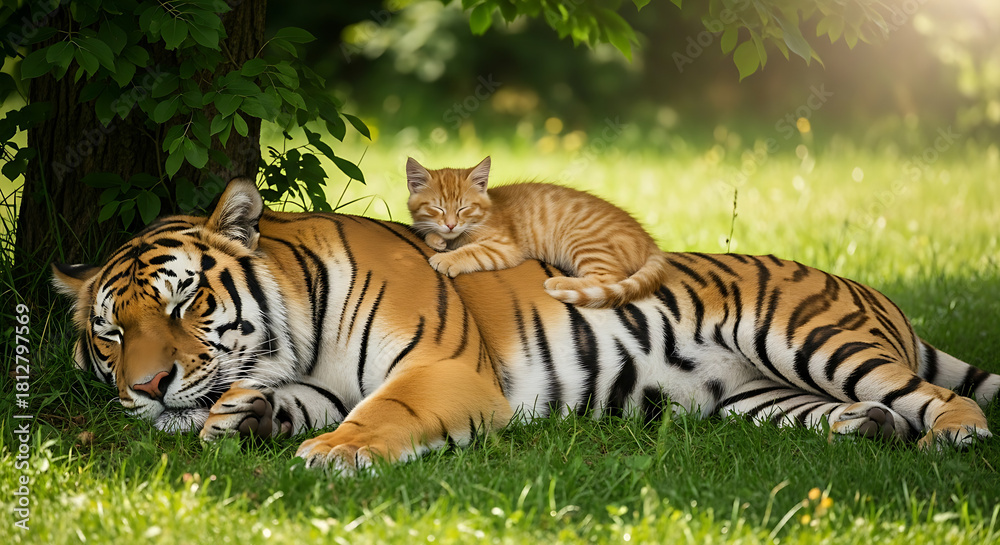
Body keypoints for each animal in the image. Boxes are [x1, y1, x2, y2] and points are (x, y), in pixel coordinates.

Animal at [53, 178, 999, 471]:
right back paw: (866, 429)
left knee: (931, 393)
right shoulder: (314, 379)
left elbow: (380, 413)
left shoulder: (442, 369)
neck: (297, 332)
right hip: (756, 400)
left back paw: (953, 434)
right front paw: (242, 417)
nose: (148, 387)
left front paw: (332, 453)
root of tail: (873, 292)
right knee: (866, 409)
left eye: (183, 302)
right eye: (111, 333)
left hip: (809, 337)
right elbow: (286, 402)